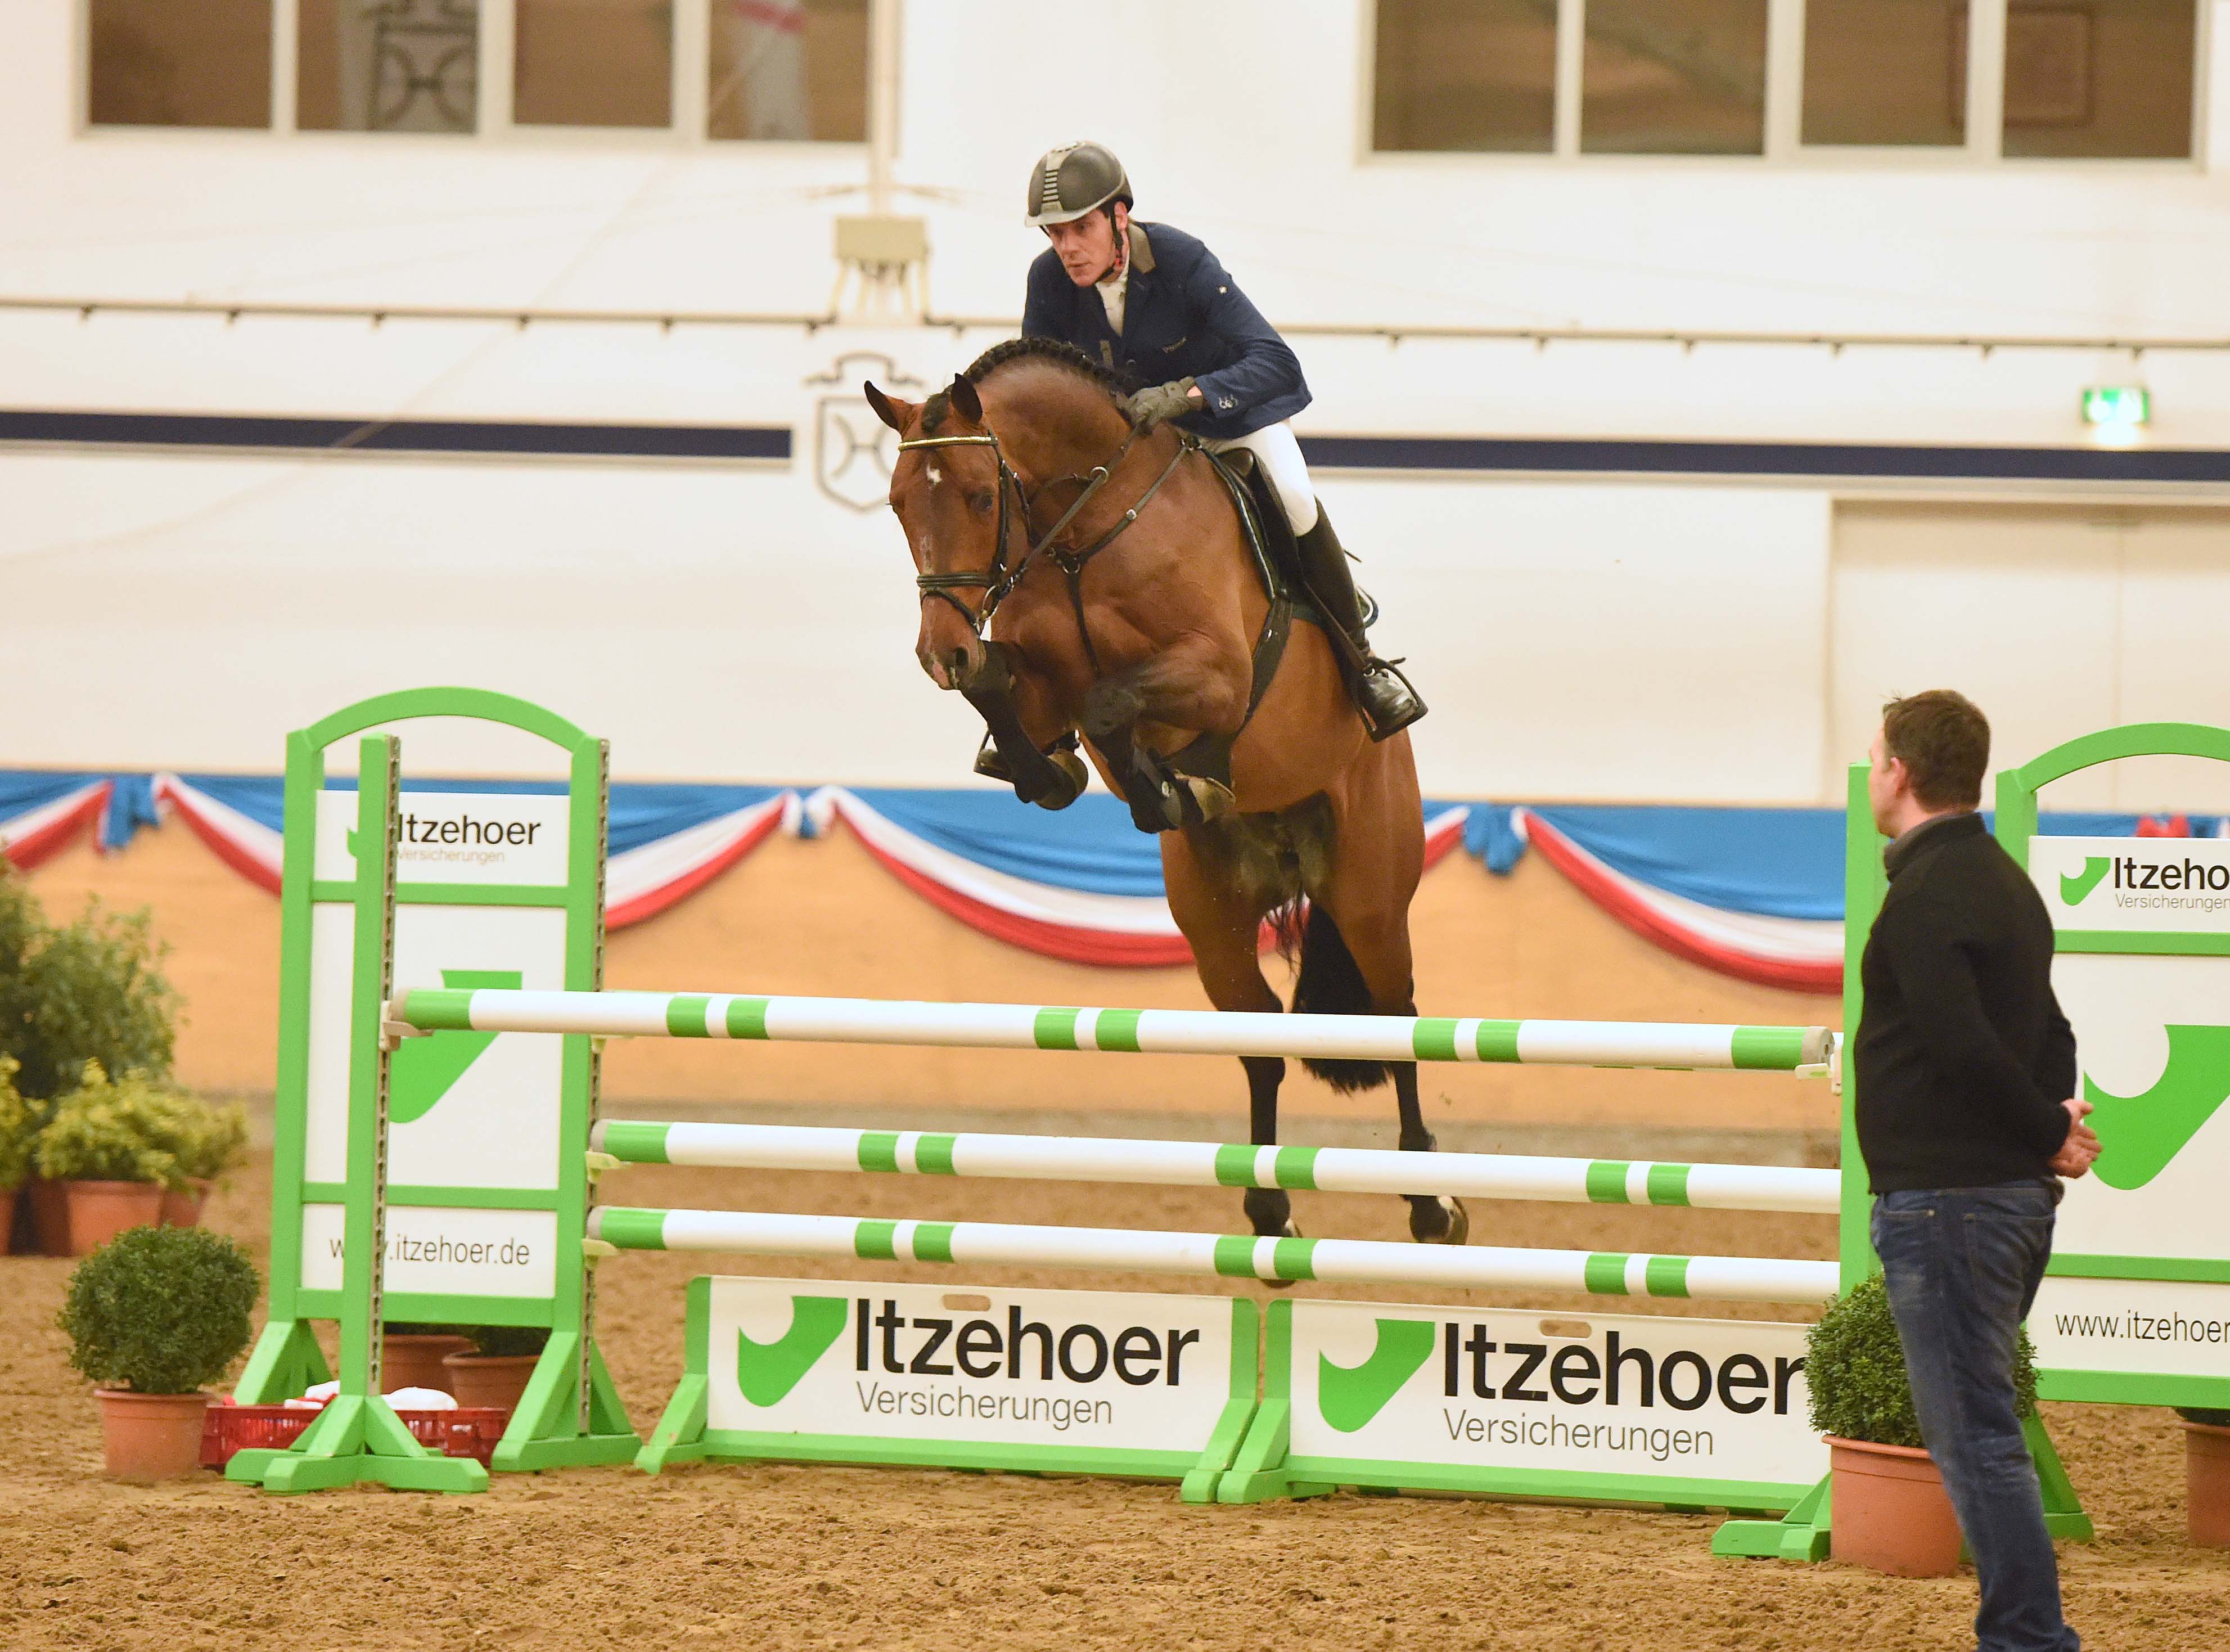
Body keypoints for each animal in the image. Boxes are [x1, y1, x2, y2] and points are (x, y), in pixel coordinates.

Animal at [865, 337, 1465, 1249]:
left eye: (979, 495)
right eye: (899, 504)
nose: (942, 653)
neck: (1082, 531)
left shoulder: (1217, 673)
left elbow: (1111, 702)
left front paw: (1166, 783)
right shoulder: (1037, 682)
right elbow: (1014, 698)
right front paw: (1068, 772)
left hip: (1369, 891)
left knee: (1393, 1020)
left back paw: (1431, 1203)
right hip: (1211, 917)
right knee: (1259, 1038)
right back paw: (1268, 1212)